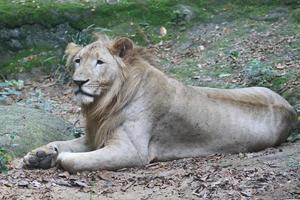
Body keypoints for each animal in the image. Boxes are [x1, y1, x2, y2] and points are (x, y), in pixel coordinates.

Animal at [23, 35, 298, 173]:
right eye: (78, 61)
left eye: (100, 62)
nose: (78, 82)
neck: (104, 104)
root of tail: (291, 109)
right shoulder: (96, 135)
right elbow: (61, 142)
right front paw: (39, 155)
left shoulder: (131, 150)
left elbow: (71, 159)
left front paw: (56, 158)